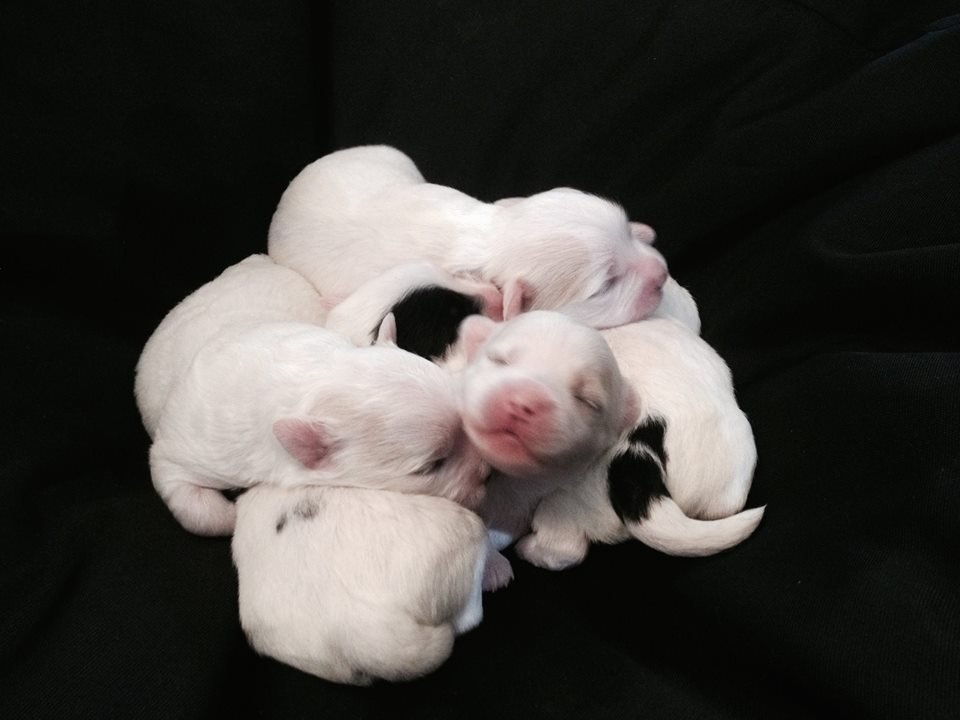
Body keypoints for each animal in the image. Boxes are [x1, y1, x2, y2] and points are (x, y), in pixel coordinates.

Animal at [148, 321, 488, 536]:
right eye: (432, 466)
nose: (488, 472)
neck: (321, 381)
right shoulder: (184, 452)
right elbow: (187, 495)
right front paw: (231, 517)